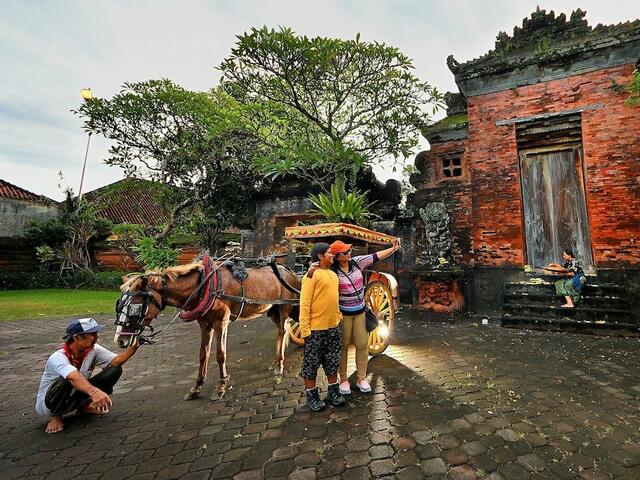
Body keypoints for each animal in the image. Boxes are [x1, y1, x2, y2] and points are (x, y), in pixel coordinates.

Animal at [114, 256, 300, 400]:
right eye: (119, 305)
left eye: (135, 307)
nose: (120, 340)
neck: (205, 286)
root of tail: (290, 271)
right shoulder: (204, 325)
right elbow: (203, 355)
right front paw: (196, 388)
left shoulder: (221, 322)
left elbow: (220, 355)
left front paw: (221, 386)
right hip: (273, 310)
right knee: (279, 334)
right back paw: (275, 361)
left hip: (284, 308)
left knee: (283, 331)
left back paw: (279, 365)